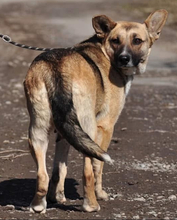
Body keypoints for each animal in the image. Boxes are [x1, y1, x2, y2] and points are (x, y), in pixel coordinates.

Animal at [19, 9, 169, 213]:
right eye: (115, 40)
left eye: (137, 40)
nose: (124, 59)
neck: (104, 49)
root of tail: (58, 67)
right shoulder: (105, 127)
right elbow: (98, 167)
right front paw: (100, 194)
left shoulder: (64, 132)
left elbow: (59, 168)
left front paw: (56, 196)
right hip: (87, 128)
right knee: (88, 171)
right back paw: (91, 204)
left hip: (38, 132)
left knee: (42, 175)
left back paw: (38, 205)